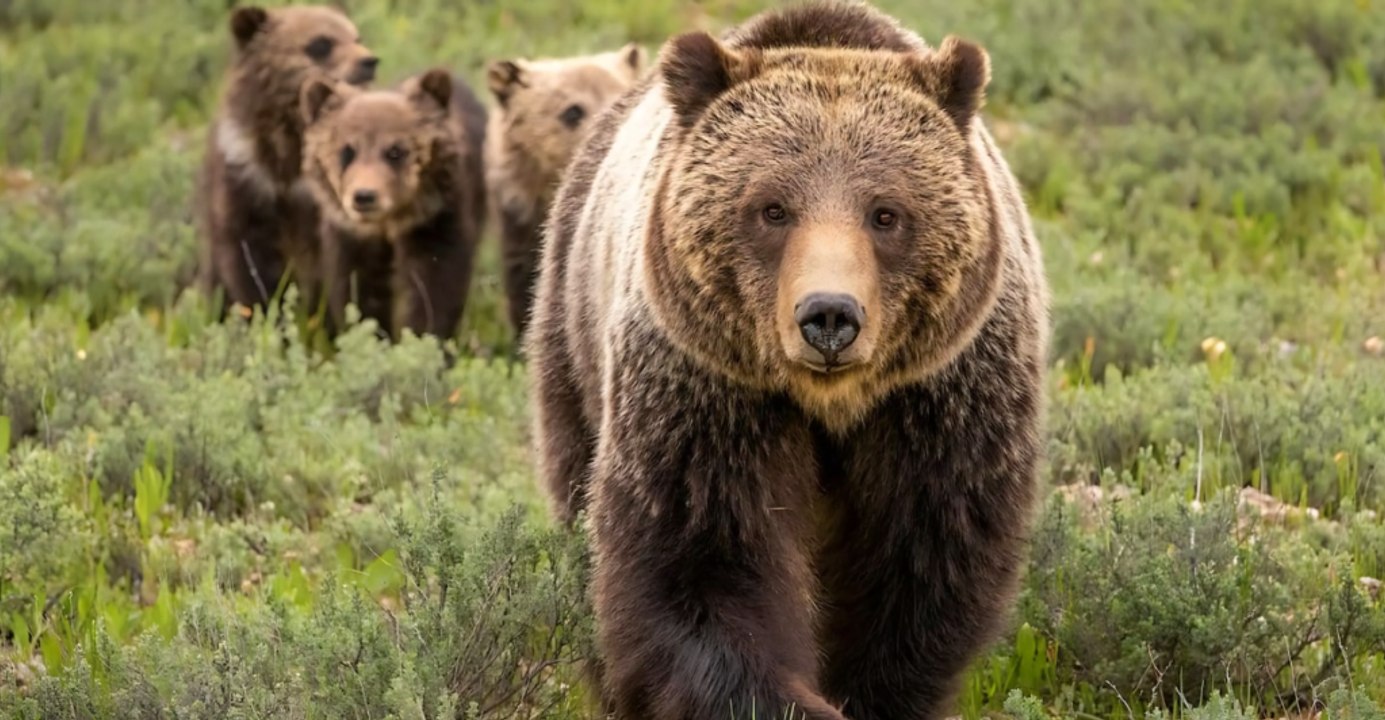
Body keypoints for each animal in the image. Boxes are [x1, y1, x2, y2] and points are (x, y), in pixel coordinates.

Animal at [298, 68, 488, 344]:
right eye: (347, 151)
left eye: (395, 151)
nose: (365, 196)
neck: (388, 224)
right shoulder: (351, 236)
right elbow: (357, 290)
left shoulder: (436, 220)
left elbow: (435, 286)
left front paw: (424, 337)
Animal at [526, 3, 1050, 720]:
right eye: (771, 208)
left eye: (886, 213)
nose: (828, 315)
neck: (830, 404)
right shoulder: (707, 391)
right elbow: (700, 561)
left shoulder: (941, 396)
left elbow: (919, 567)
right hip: (571, 328)